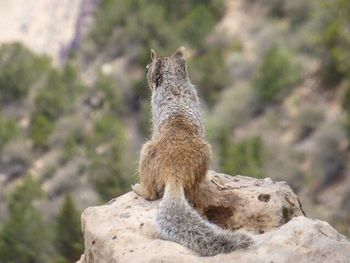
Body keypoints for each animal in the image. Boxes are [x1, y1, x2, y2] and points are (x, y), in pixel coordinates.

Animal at [133, 48, 253, 258]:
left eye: (147, 68)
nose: (145, 71)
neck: (174, 83)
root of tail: (174, 173)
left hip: (145, 152)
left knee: (151, 193)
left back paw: (139, 188)